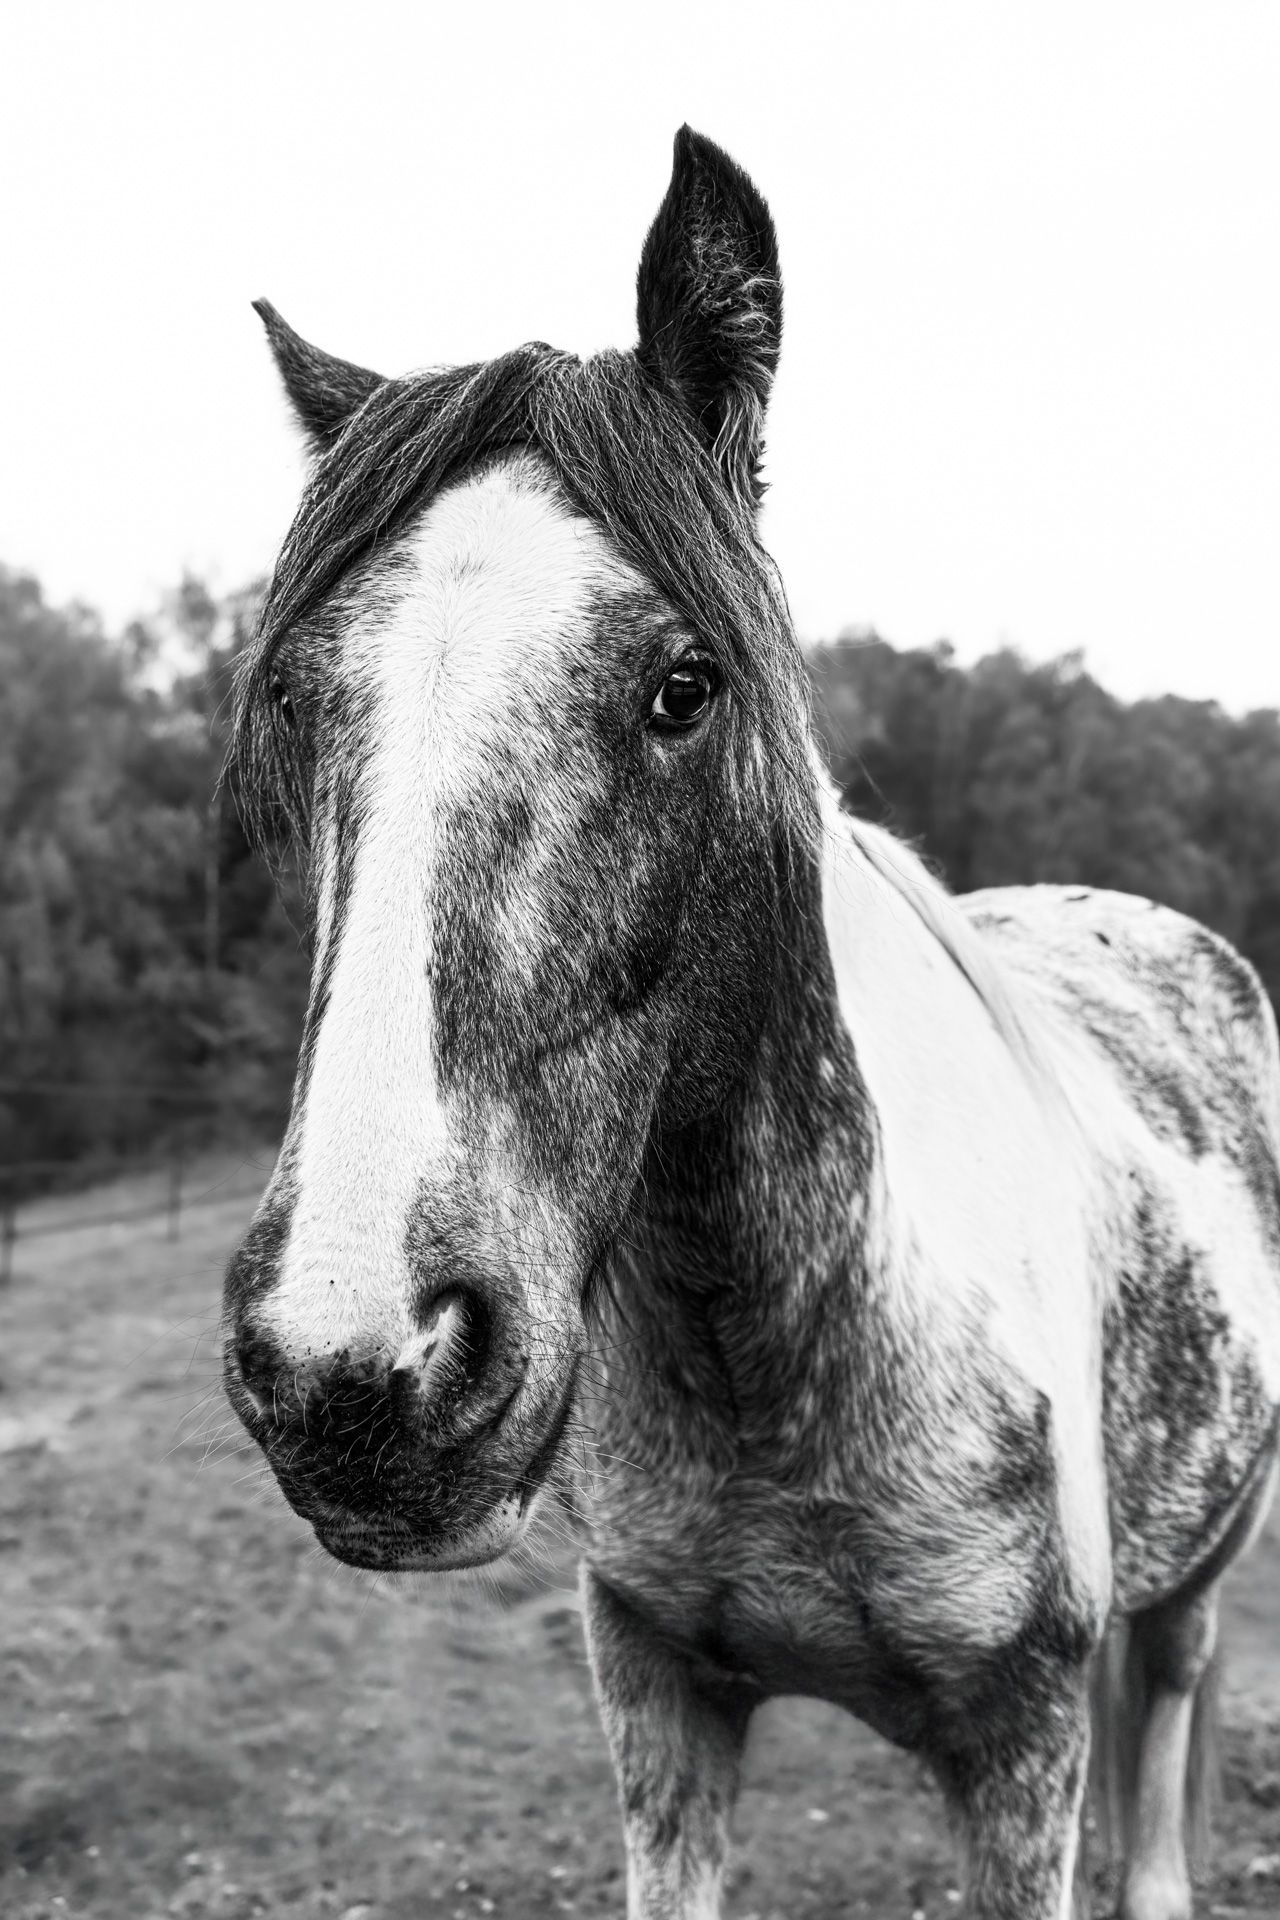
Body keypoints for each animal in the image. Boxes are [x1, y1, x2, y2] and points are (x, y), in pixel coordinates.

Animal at [221, 127, 1280, 1920]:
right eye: (297, 701)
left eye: (684, 685)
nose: (352, 1371)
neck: (773, 1344)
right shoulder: (657, 1692)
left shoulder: (1025, 1750)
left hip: (1193, 1596)